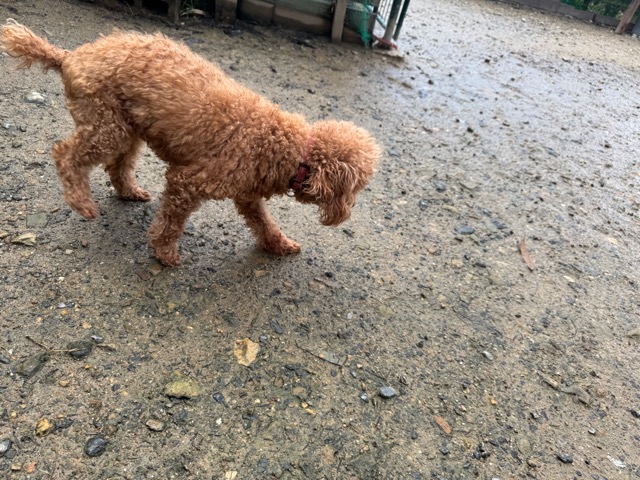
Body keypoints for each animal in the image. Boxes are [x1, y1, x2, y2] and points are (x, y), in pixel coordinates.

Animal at [1, 22, 381, 266]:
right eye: (356, 189)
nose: (346, 214)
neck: (290, 149)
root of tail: (70, 56)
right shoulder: (188, 182)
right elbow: (171, 223)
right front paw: (164, 253)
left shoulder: (246, 195)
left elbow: (263, 223)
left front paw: (280, 245)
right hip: (107, 126)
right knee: (66, 155)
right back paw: (82, 202)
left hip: (126, 127)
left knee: (117, 166)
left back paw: (129, 192)